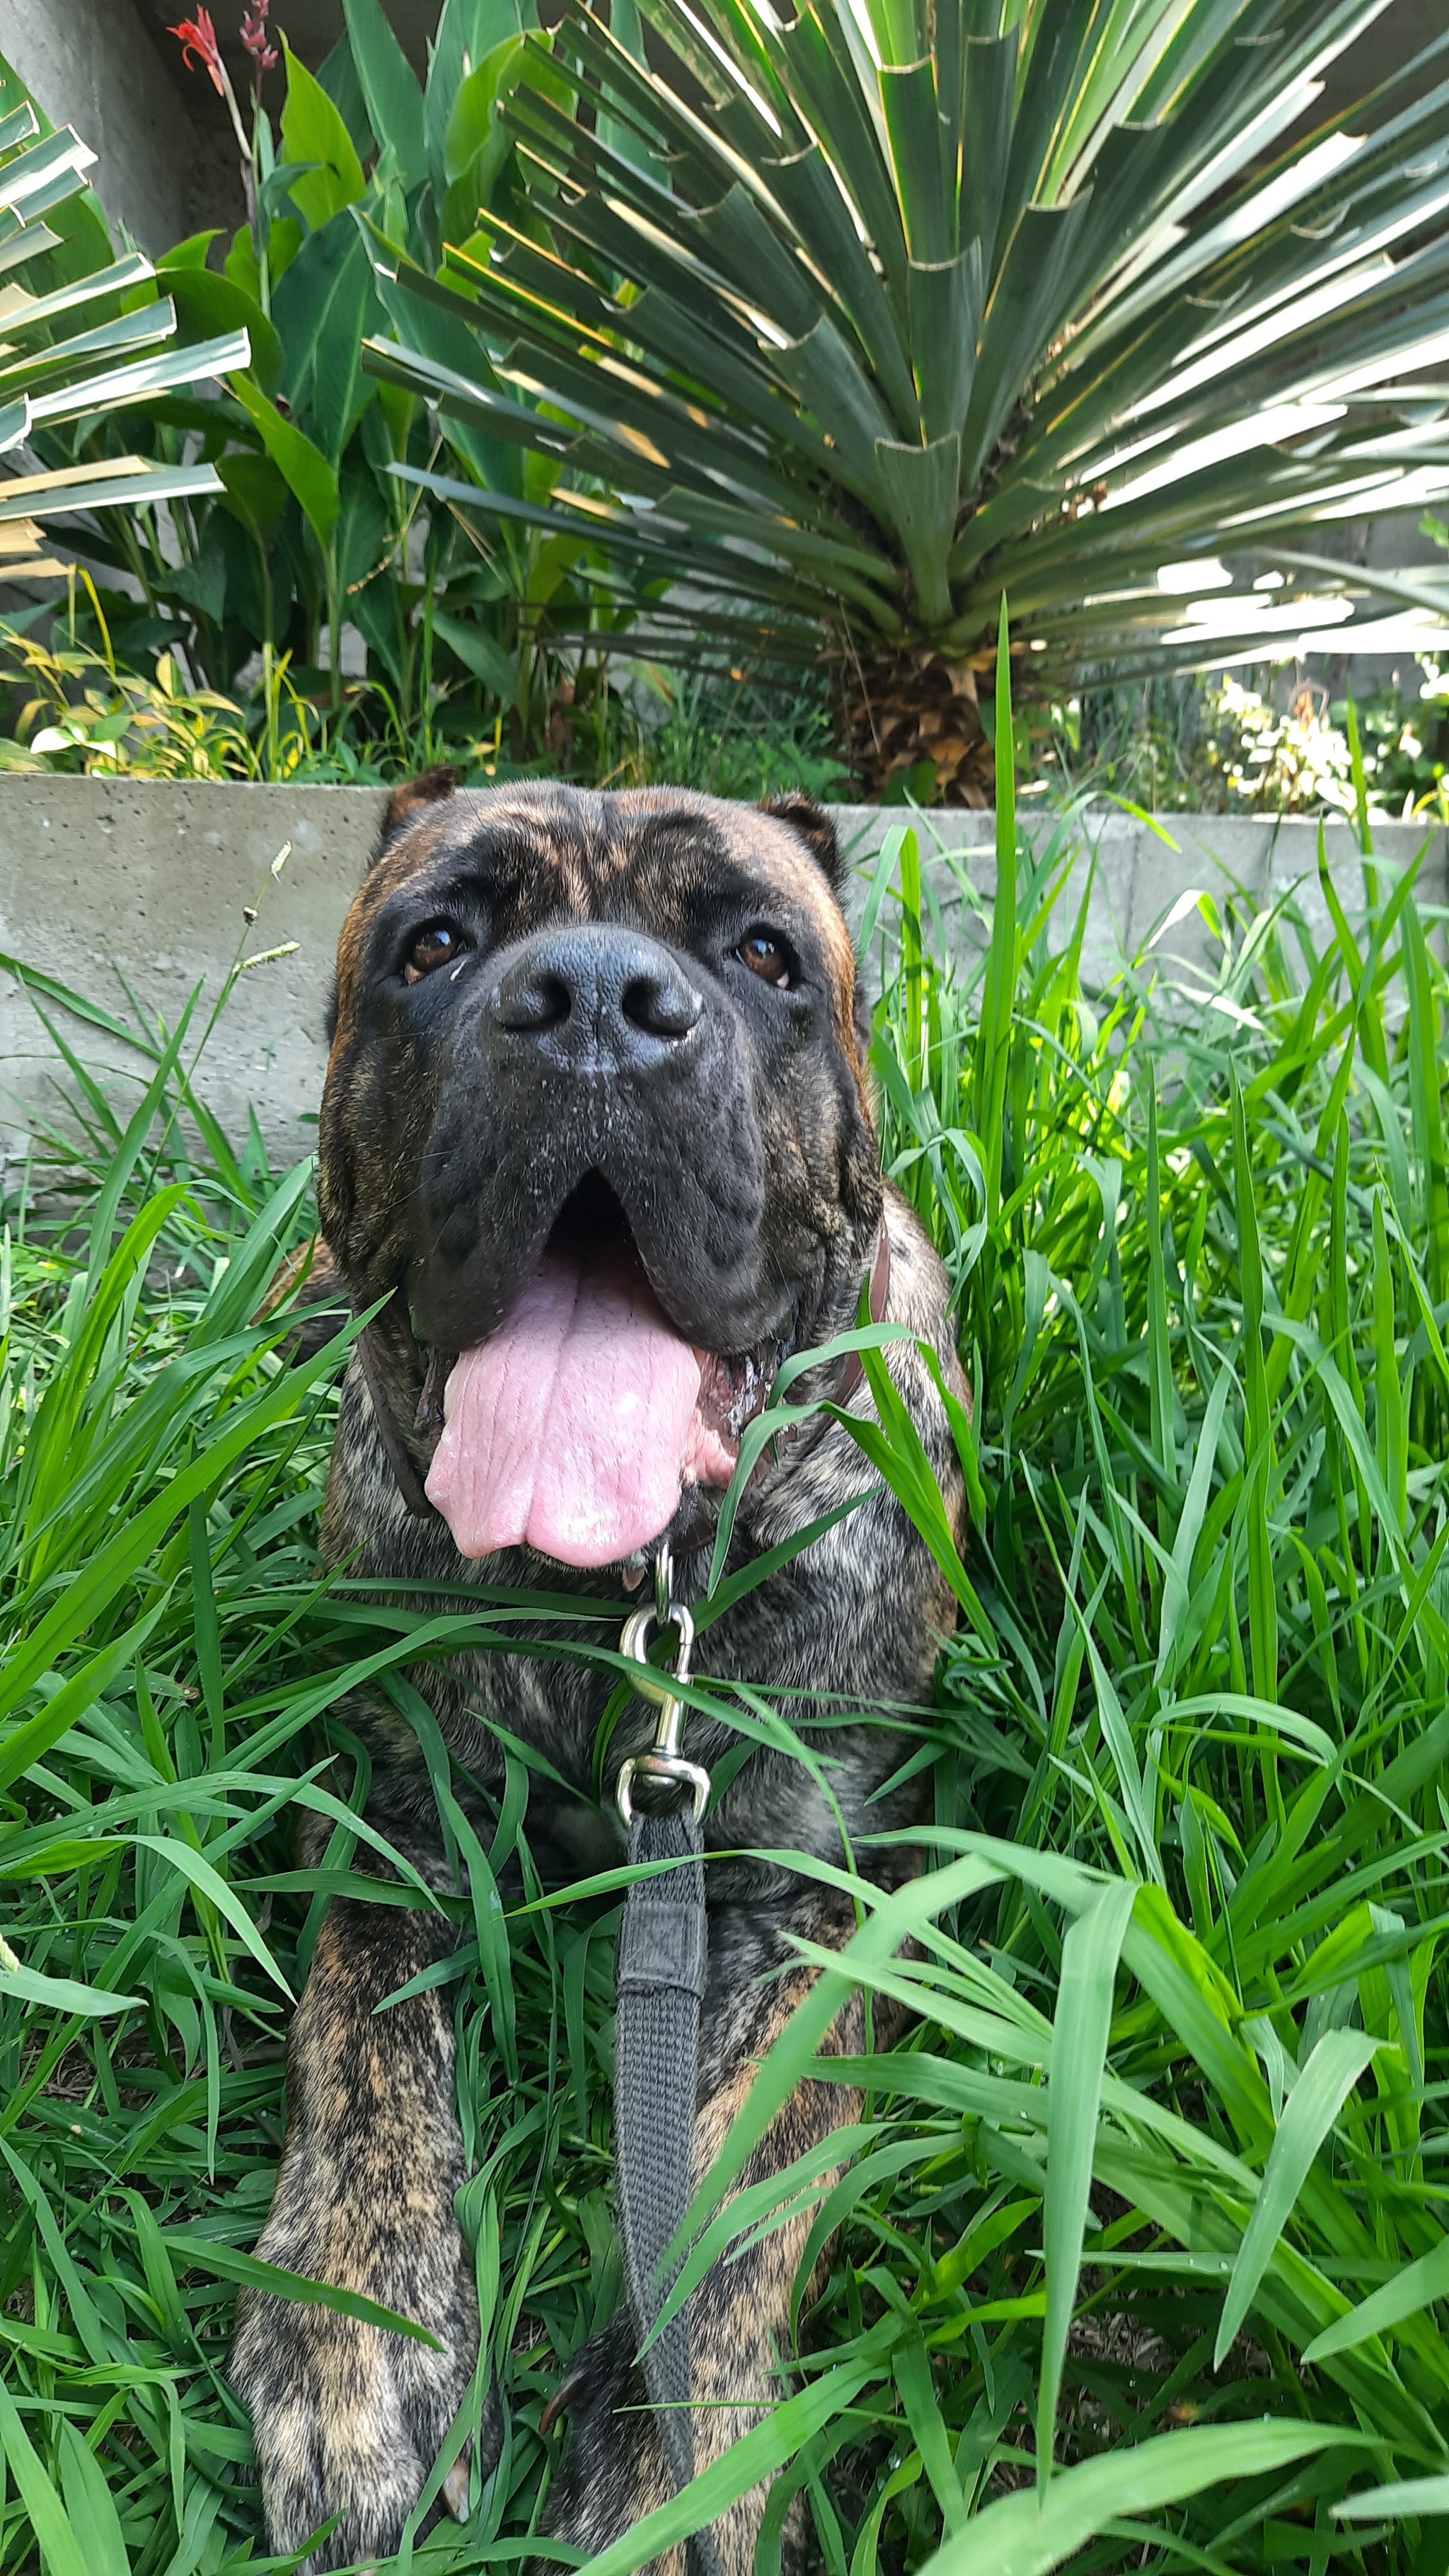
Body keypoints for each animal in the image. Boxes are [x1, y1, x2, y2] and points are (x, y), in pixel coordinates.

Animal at [229, 776, 965, 2568]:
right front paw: (356, 2339)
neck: (613, 1594)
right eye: (435, 940)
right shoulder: (392, 1807)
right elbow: (358, 2047)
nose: (592, 1005)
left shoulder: (807, 1890)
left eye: (762, 953)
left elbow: (739, 2180)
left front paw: (670, 2461)